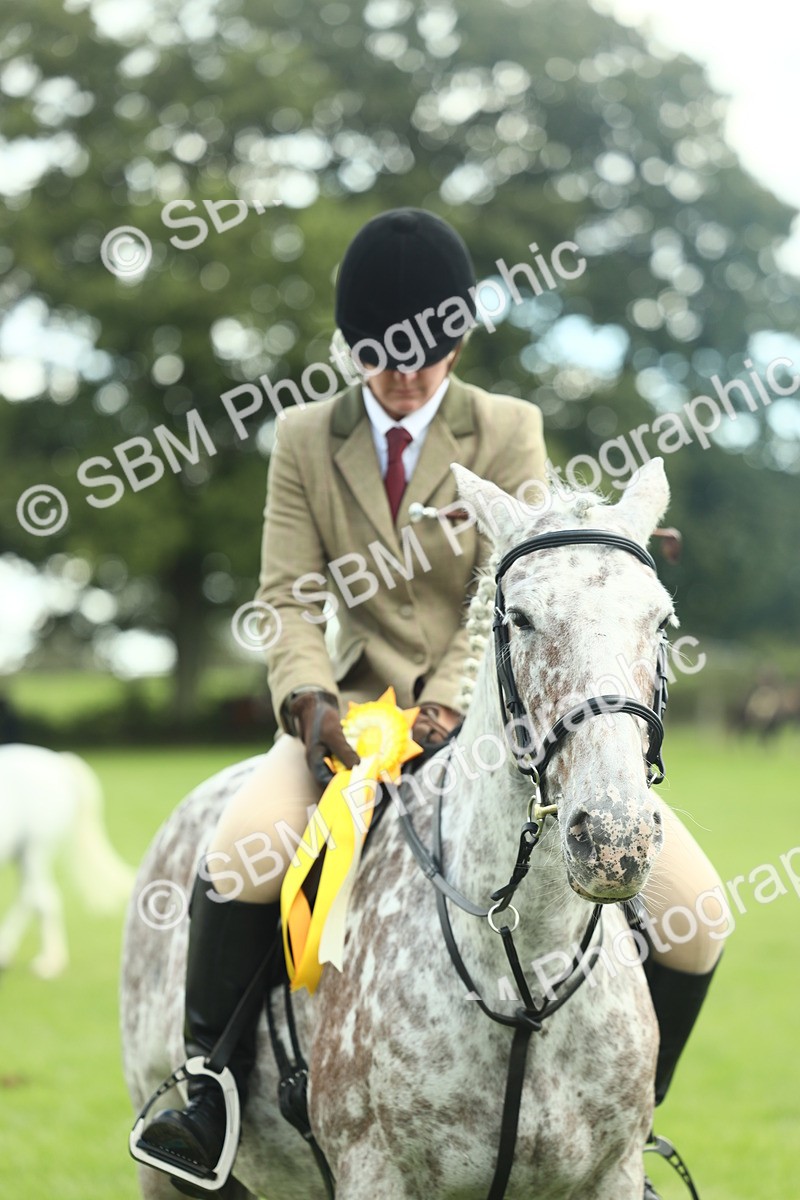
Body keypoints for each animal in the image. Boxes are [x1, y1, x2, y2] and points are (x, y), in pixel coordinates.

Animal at [0, 744, 135, 978]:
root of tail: (56, 761)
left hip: (35, 849)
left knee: (44, 899)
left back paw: (49, 963)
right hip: (23, 854)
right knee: (29, 896)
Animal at [121, 458, 675, 1199]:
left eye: (661, 620)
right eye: (521, 619)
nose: (614, 839)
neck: (526, 969)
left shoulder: (611, 1174)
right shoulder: (375, 1172)